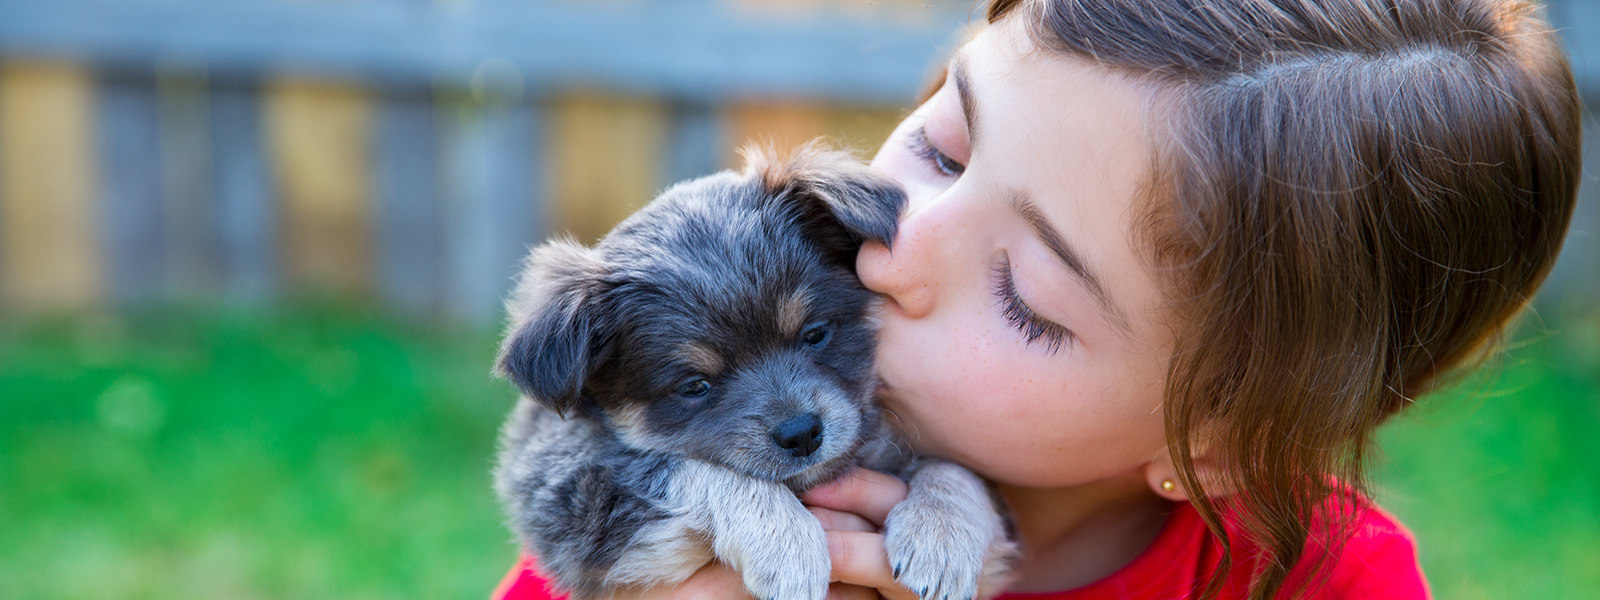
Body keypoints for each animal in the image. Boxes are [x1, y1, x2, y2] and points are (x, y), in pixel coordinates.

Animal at [492, 144, 1011, 600]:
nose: (802, 434)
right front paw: (788, 544)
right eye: (695, 386)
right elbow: (692, 468)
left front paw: (940, 536)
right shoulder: (568, 491)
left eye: (815, 334)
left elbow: (957, 470)